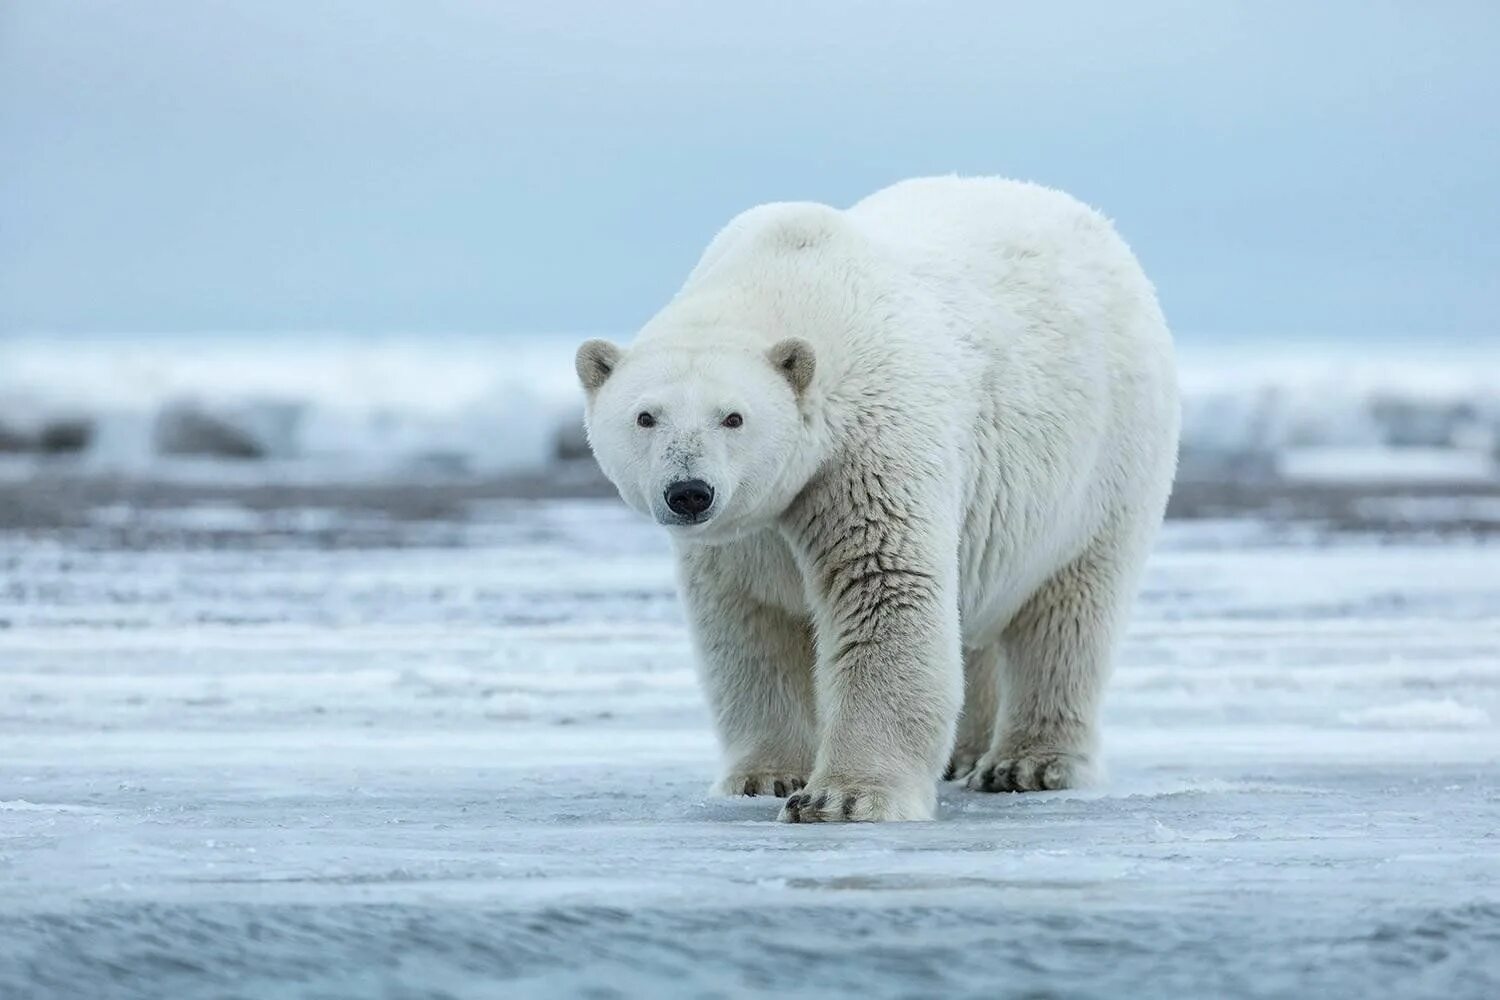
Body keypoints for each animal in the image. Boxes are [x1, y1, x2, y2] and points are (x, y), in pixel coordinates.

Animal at [579, 177, 1176, 821]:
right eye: (646, 416)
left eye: (733, 417)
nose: (689, 492)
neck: (787, 278)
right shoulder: (748, 532)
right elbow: (751, 620)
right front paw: (766, 777)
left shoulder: (867, 445)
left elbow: (883, 586)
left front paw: (842, 797)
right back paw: (965, 754)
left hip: (1106, 462)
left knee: (1070, 611)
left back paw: (1029, 764)